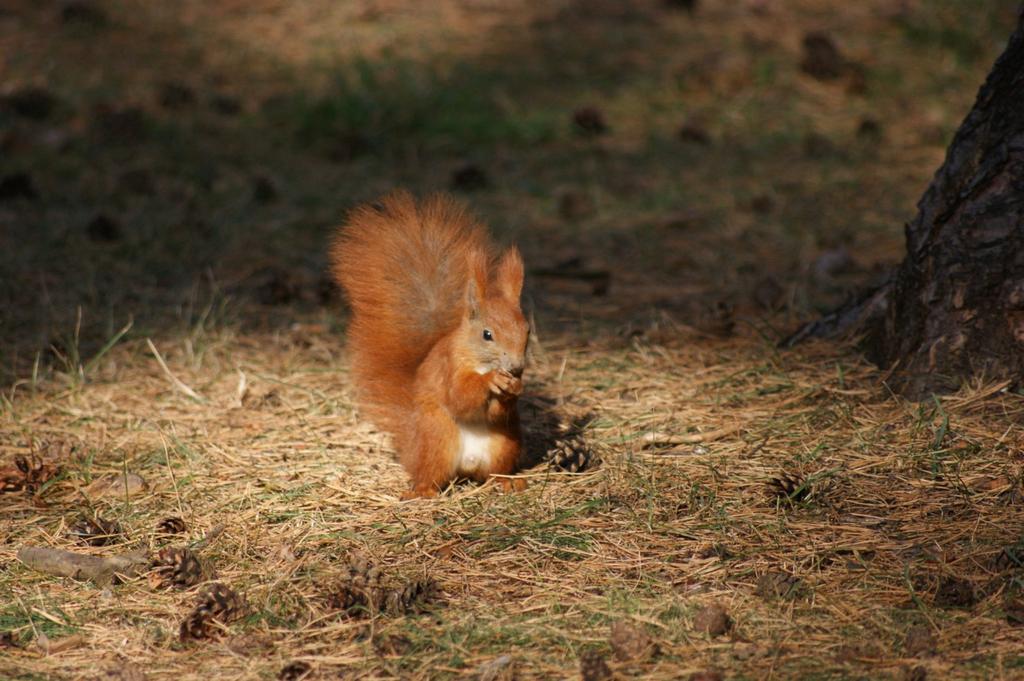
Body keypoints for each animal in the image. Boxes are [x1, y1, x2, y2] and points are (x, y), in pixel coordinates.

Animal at [331, 188, 532, 497]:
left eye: (527, 332)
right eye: (487, 334)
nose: (516, 367)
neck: (478, 359)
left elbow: (499, 410)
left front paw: (515, 386)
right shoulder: (449, 366)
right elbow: (460, 397)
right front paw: (492, 381)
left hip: (505, 442)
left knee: (492, 471)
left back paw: (507, 481)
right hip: (438, 436)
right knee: (431, 473)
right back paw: (423, 491)